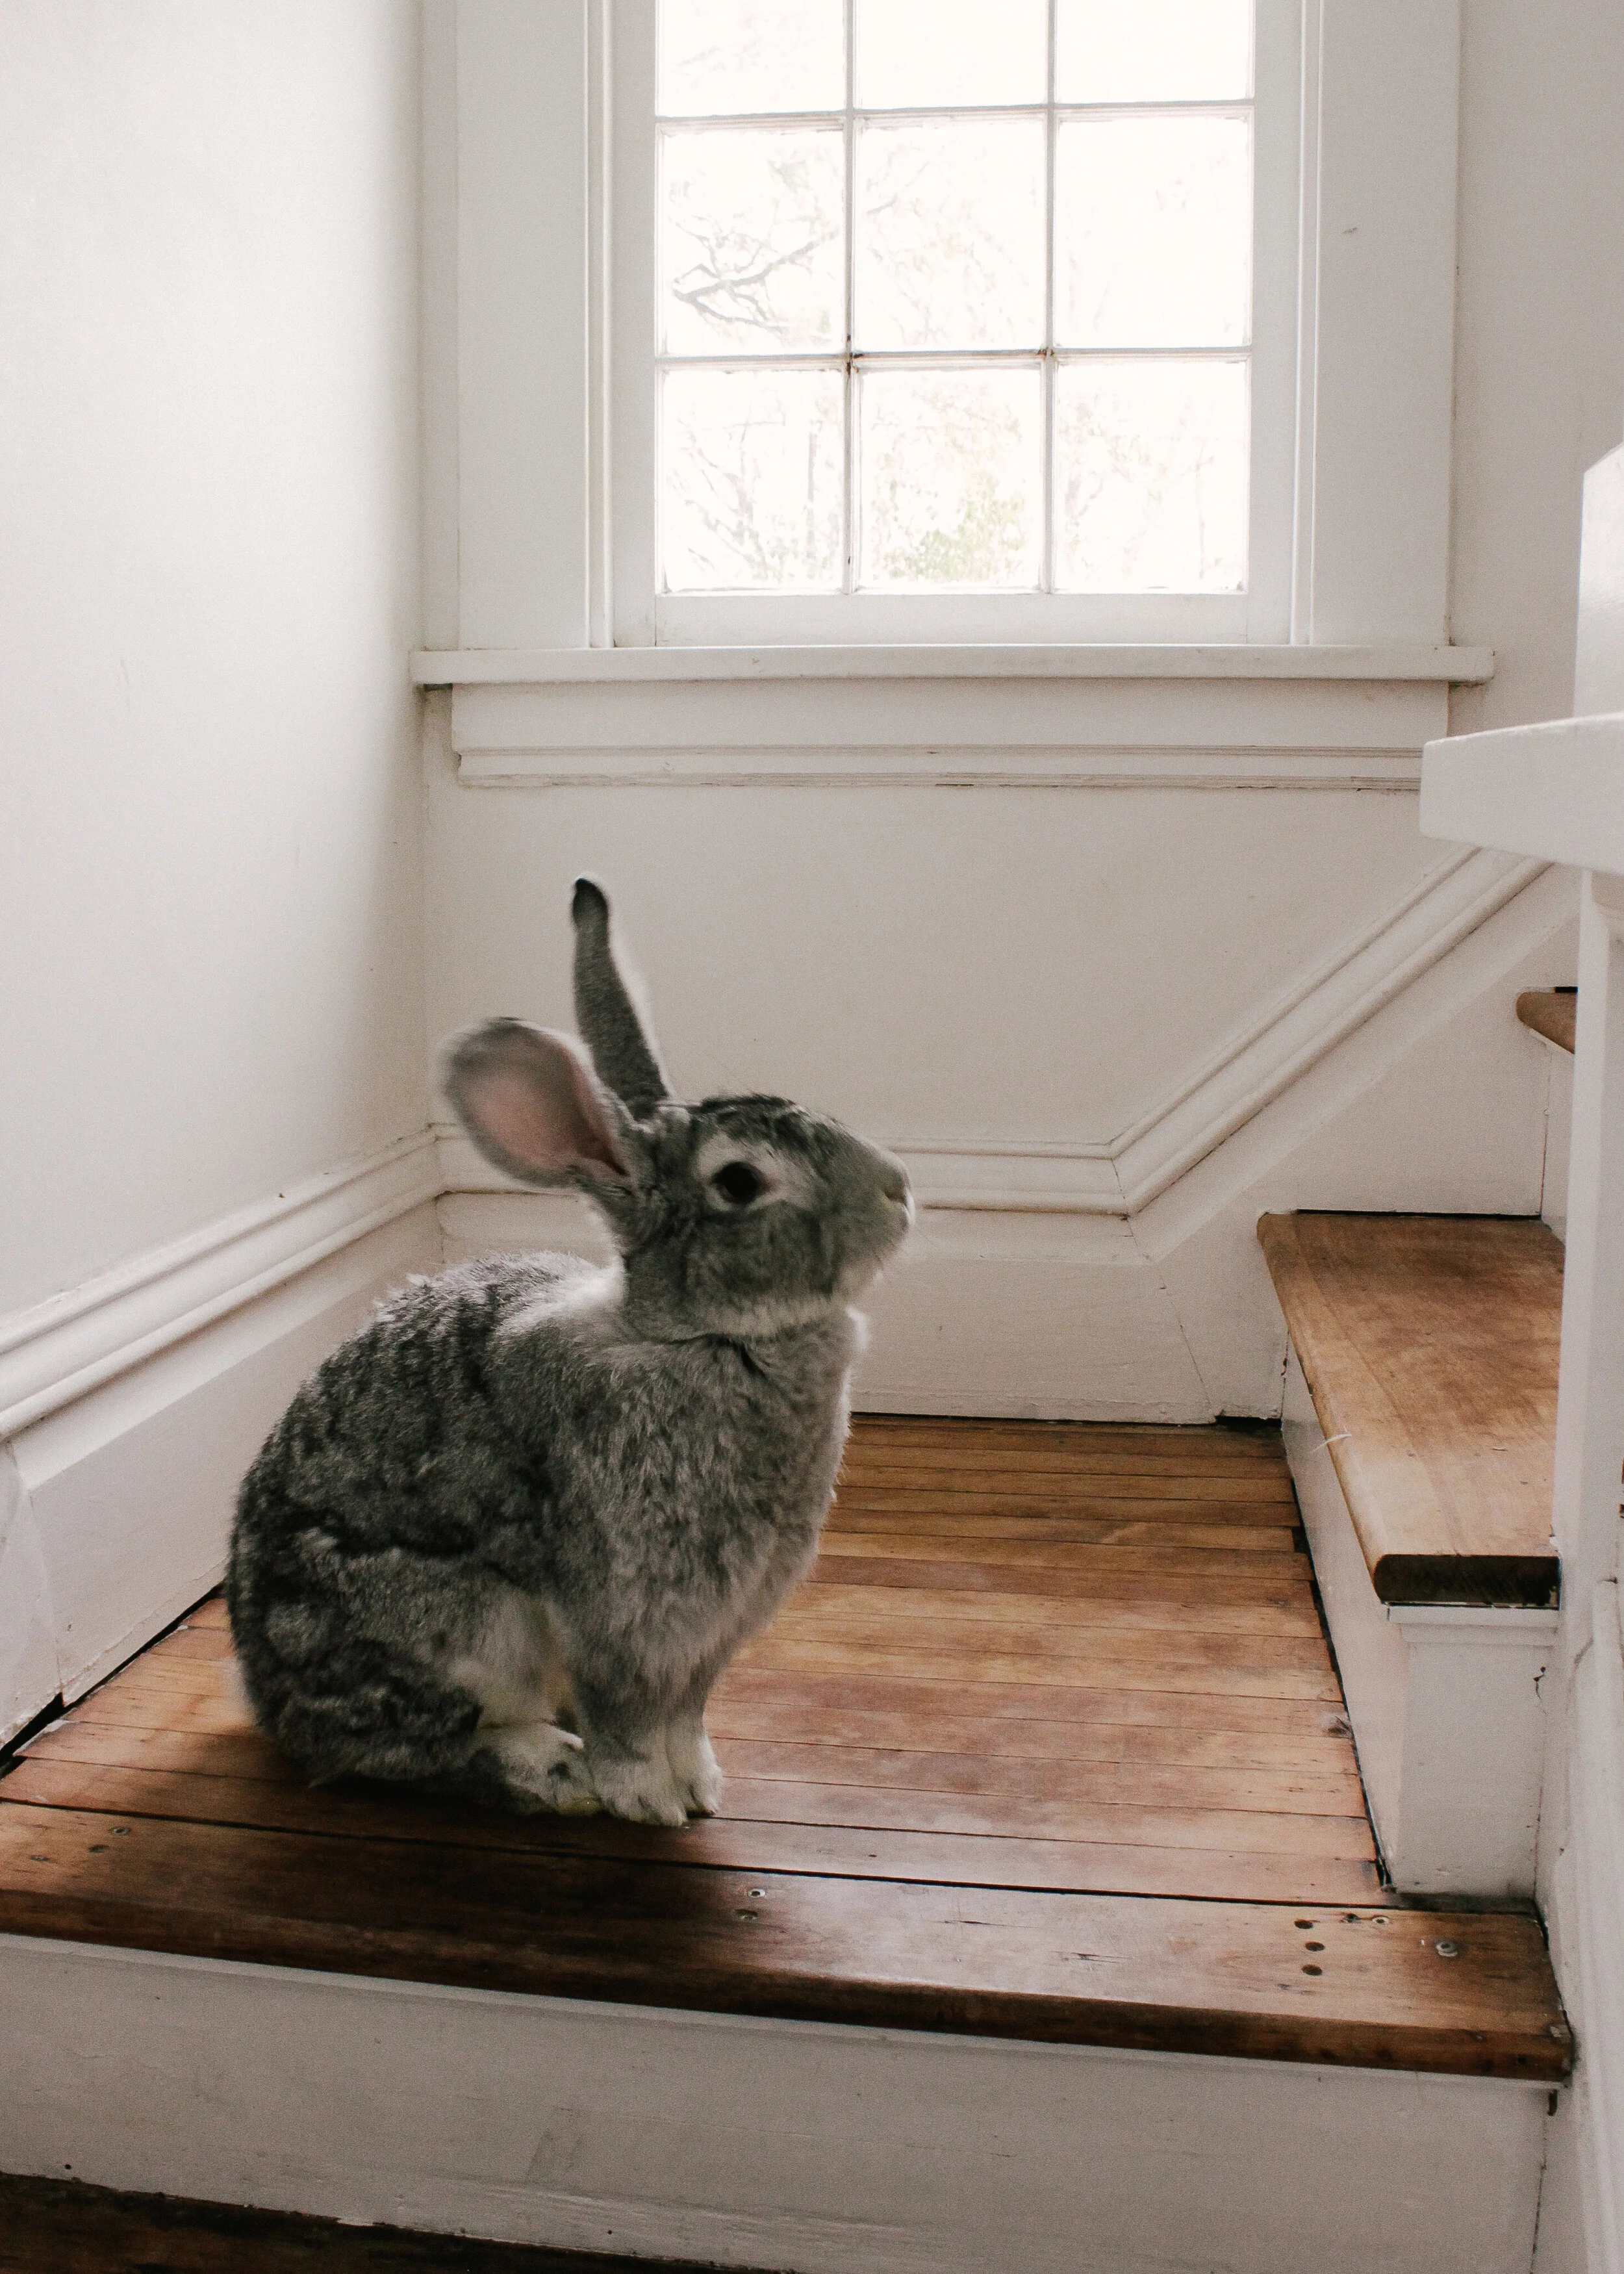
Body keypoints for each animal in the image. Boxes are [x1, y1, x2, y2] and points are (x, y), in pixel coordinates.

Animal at [227, 879, 913, 1826]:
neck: (701, 1336)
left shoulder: (716, 1630)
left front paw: (702, 1787)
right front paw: (647, 1801)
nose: (899, 1189)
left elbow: (688, 1714)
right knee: (417, 1750)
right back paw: (556, 1771)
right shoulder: (623, 1615)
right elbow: (626, 1716)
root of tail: (268, 1700)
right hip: (464, 1624)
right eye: (740, 1182)